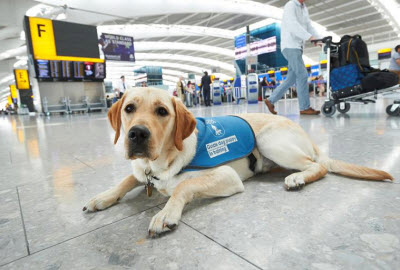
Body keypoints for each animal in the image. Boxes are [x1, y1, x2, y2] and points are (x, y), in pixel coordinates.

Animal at [83, 87, 392, 236]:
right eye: (129, 108)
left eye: (162, 111)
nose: (137, 133)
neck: (161, 162)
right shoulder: (141, 170)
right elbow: (126, 179)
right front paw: (101, 198)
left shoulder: (225, 176)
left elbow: (183, 186)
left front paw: (165, 214)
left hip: (269, 141)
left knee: (319, 166)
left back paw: (297, 177)